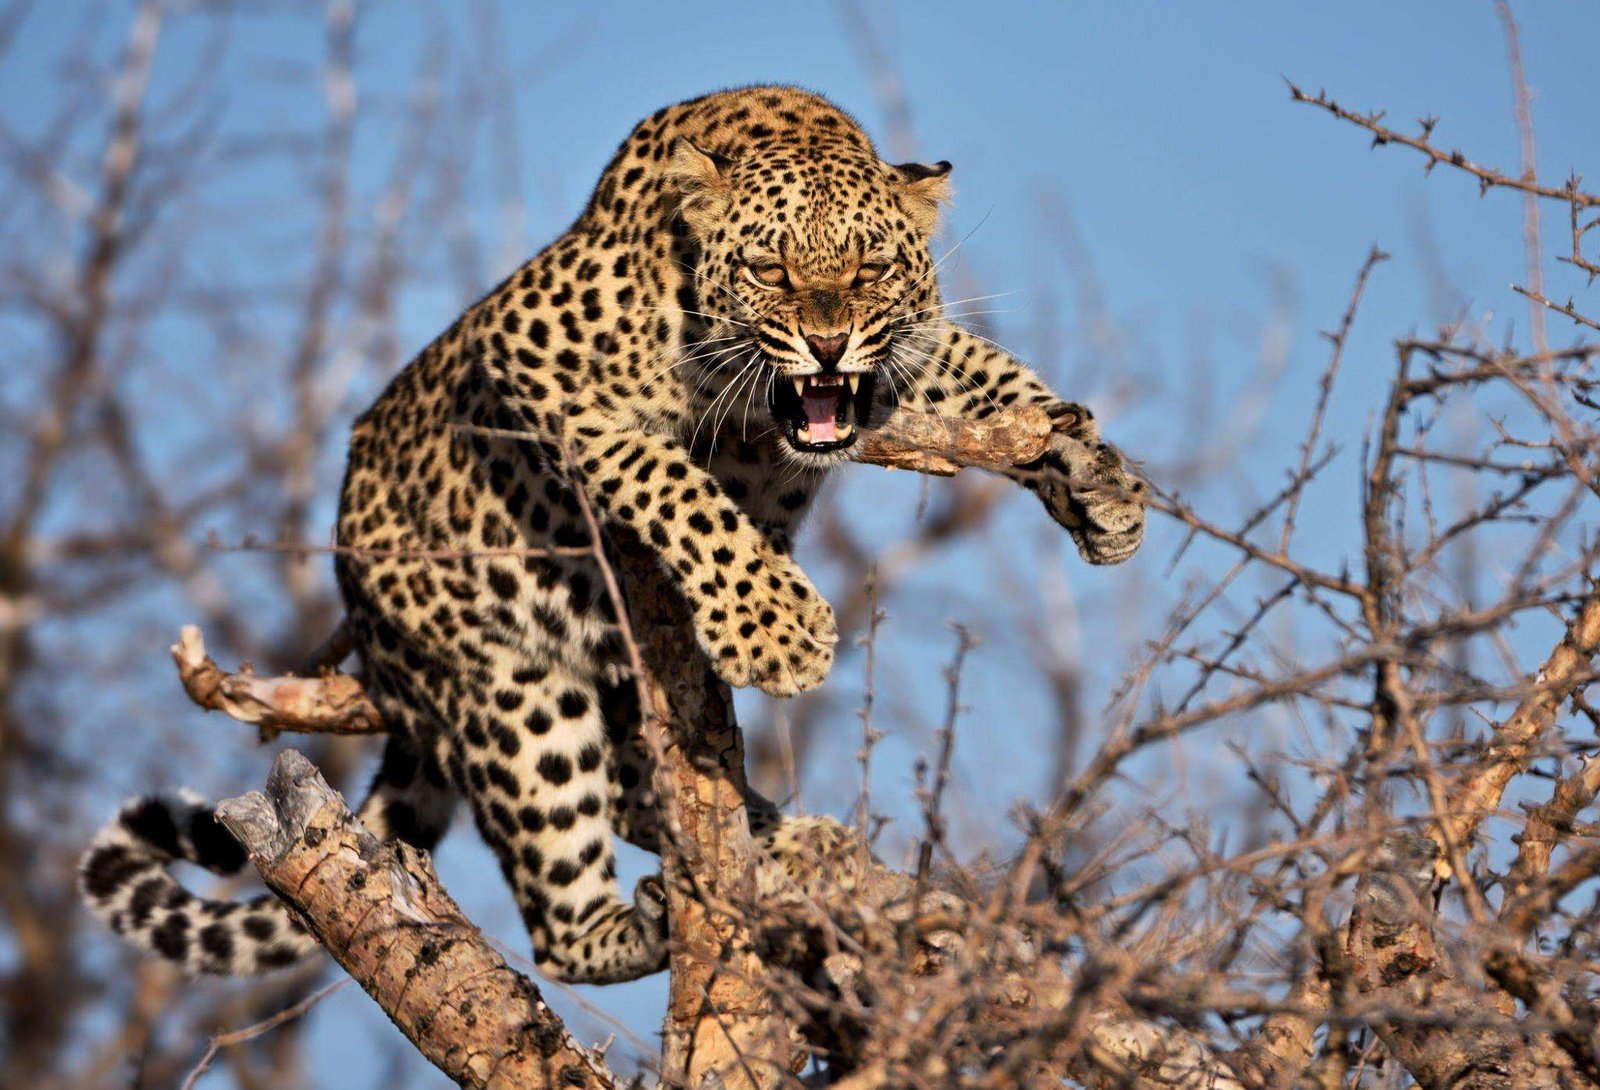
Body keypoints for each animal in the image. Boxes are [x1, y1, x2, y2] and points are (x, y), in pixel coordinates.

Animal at [81, 87, 1145, 985]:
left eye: (870, 267)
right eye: (772, 269)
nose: (829, 343)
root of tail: (366, 628)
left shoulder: (913, 357)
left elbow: (1007, 385)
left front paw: (1101, 486)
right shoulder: (532, 359)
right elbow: (670, 483)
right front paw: (775, 629)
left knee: (644, 791)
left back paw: (787, 849)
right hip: (511, 690)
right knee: (561, 921)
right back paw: (662, 912)